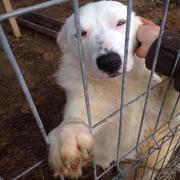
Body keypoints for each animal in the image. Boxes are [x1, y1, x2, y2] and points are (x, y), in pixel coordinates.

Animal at [48, 0, 180, 179]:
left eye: (121, 23)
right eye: (81, 33)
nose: (109, 61)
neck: (119, 87)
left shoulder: (162, 108)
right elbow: (73, 120)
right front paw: (68, 135)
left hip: (159, 150)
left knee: (149, 169)